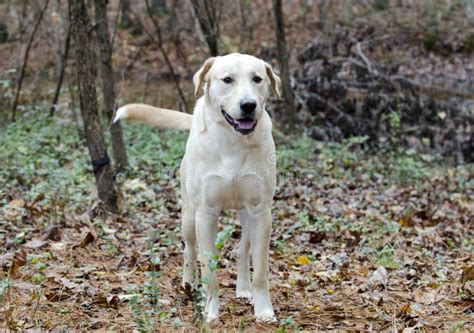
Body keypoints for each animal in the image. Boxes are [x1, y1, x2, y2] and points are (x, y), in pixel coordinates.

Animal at [115, 53, 282, 322]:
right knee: (189, 251)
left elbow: (260, 271)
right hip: (188, 217)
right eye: (227, 80)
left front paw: (263, 309)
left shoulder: (261, 211)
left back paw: (243, 289)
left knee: (242, 249)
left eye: (257, 79)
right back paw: (188, 285)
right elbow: (208, 269)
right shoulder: (205, 213)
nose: (248, 105)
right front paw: (210, 311)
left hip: (247, 216)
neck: (233, 142)